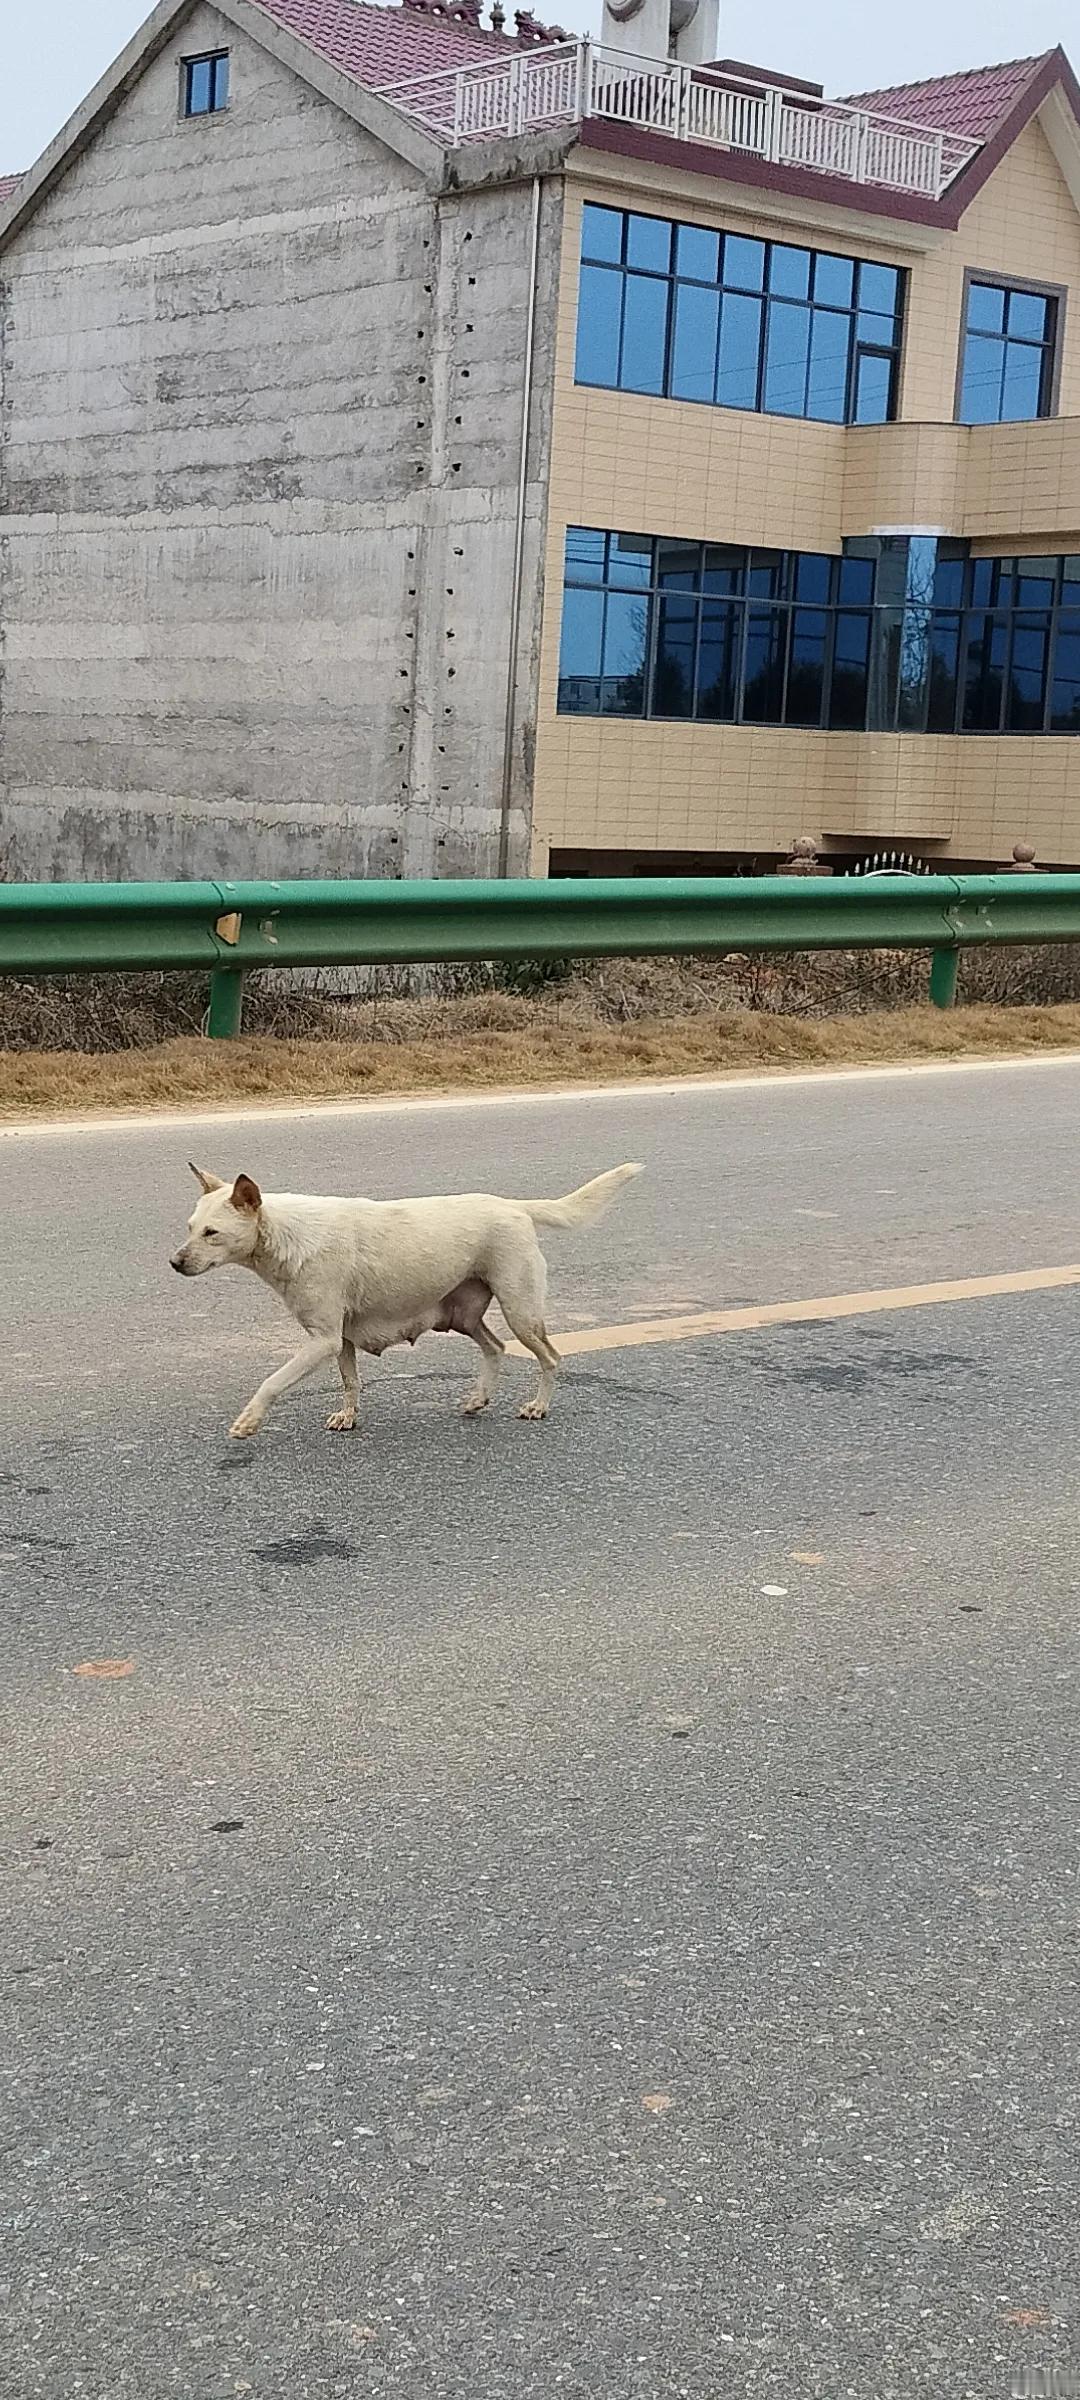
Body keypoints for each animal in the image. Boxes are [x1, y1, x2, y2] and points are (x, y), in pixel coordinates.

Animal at [170, 1152, 643, 1430]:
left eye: (212, 1233)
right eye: (190, 1228)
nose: (174, 1263)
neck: (286, 1235)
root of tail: (513, 1206)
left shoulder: (322, 1341)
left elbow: (271, 1381)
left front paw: (249, 1421)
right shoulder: (340, 1340)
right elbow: (351, 1382)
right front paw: (348, 1416)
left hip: (520, 1310)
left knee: (549, 1357)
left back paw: (538, 1406)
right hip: (463, 1317)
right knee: (495, 1348)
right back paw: (479, 1398)